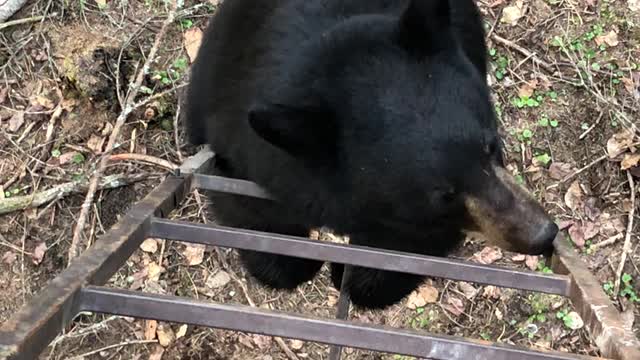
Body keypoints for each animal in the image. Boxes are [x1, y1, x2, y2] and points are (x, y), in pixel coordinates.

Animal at [184, 0, 556, 310]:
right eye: (444, 195)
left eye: (491, 146)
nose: (543, 234)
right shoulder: (245, 141)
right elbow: (248, 205)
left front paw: (361, 278)